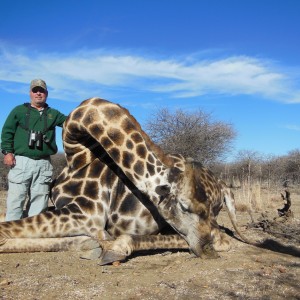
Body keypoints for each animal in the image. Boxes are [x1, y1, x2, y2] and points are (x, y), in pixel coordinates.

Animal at [0, 97, 251, 264]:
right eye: (184, 206)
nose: (207, 251)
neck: (77, 158)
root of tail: (222, 187)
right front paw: (88, 244)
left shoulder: (86, 214)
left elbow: (4, 230)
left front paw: (98, 244)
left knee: (221, 239)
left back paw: (117, 247)